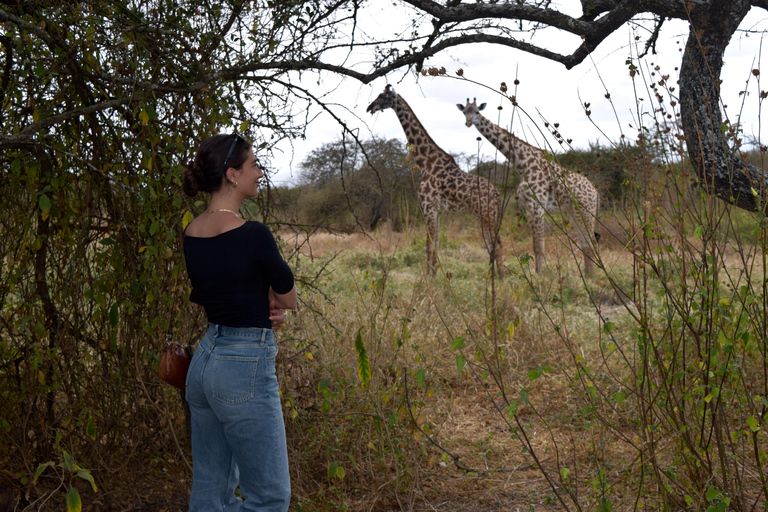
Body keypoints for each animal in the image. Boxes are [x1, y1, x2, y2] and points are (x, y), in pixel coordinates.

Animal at [366, 85, 504, 276]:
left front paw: (428, 279)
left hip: (484, 213)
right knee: (496, 243)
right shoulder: (436, 210)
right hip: (491, 214)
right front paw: (436, 276)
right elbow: (436, 245)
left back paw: (501, 280)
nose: (369, 107)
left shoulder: (428, 206)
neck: (426, 162)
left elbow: (428, 246)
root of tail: (497, 193)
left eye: (382, 96)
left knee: (495, 244)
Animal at [456, 98, 600, 278]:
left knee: (591, 243)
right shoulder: (529, 207)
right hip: (574, 212)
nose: (468, 122)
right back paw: (587, 279)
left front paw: (539, 278)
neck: (522, 164)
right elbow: (534, 245)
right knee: (585, 243)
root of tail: (596, 192)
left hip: (587, 211)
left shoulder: (537, 206)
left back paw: (592, 280)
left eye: (476, 111)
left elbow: (539, 245)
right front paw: (538, 275)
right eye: (464, 112)